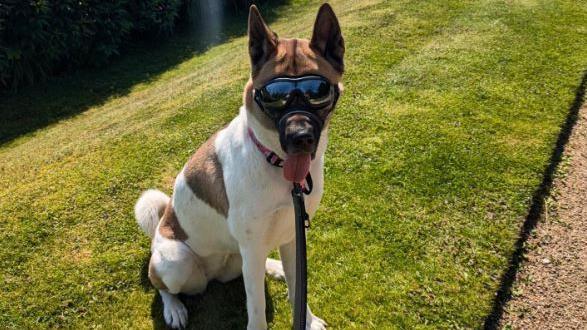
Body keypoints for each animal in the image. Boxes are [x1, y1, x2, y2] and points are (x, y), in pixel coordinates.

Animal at [133, 3, 344, 328]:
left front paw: (306, 320)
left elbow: (299, 286)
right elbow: (256, 309)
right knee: (161, 285)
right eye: (273, 96)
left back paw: (273, 267)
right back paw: (174, 308)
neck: (275, 163)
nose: (300, 138)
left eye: (317, 91)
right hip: (178, 262)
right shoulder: (253, 247)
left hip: (238, 261)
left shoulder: (293, 236)